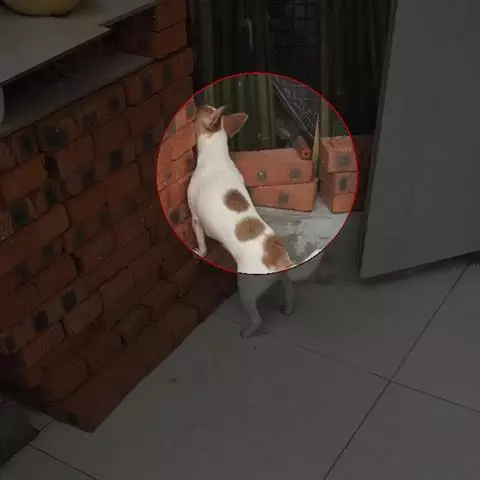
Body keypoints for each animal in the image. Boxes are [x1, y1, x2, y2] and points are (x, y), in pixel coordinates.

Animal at [187, 104, 323, 338]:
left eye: (197, 114)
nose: (196, 106)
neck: (215, 156)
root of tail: (277, 257)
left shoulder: (195, 219)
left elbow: (201, 242)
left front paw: (200, 252)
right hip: (283, 279)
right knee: (290, 293)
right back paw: (288, 309)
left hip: (247, 291)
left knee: (257, 318)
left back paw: (248, 332)